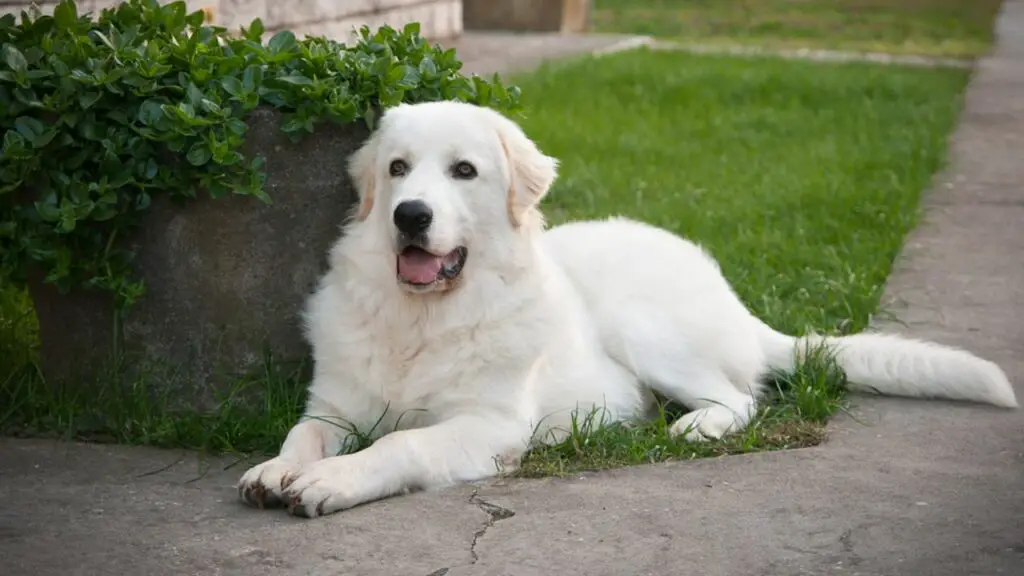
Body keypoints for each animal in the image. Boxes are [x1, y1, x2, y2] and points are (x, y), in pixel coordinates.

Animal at [237, 98, 1015, 516]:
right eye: (397, 169)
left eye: (463, 171)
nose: (410, 215)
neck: (421, 320)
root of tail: (735, 301)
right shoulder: (334, 406)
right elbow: (303, 435)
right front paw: (278, 471)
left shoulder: (488, 425)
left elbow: (402, 444)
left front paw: (331, 483)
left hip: (644, 326)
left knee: (741, 399)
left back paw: (693, 427)